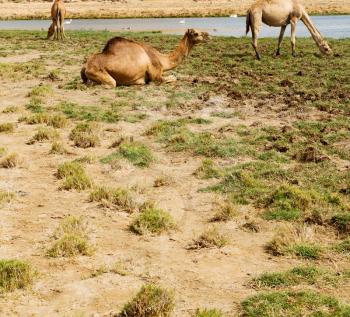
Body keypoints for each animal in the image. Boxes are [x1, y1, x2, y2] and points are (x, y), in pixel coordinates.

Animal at [80, 28, 209, 87]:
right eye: (196, 33)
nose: (208, 35)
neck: (162, 59)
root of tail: (85, 66)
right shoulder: (156, 75)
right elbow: (172, 78)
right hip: (99, 73)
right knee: (110, 83)